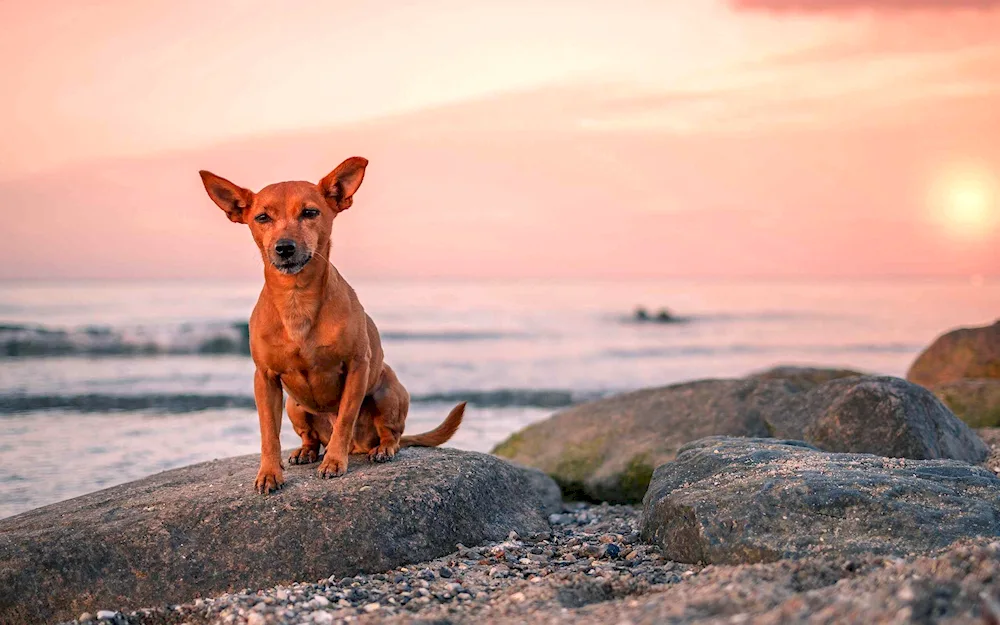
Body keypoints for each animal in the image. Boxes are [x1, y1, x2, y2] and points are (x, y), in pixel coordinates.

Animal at [203, 157, 468, 492]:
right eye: (262, 217)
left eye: (310, 212)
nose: (284, 247)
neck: (296, 298)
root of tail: (360, 446)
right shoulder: (265, 379)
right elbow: (268, 433)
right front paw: (269, 473)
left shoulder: (356, 367)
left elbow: (344, 419)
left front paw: (334, 463)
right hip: (294, 405)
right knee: (311, 436)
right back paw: (306, 451)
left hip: (386, 391)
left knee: (390, 433)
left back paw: (380, 449)